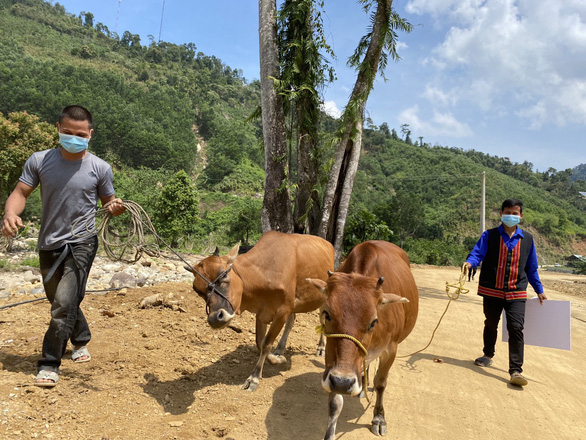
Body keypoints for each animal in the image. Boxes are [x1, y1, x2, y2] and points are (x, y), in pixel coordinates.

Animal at [187, 232, 334, 390]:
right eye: (197, 290)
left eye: (224, 276)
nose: (215, 318)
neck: (262, 273)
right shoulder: (262, 312)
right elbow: (260, 342)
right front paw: (276, 358)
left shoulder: (282, 311)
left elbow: (266, 343)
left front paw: (255, 377)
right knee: (292, 321)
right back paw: (280, 348)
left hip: (323, 298)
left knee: (322, 321)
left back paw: (321, 347)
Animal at [308, 242, 418, 438]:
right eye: (327, 314)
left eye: (374, 321)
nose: (343, 382)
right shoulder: (334, 363)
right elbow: (335, 401)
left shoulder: (391, 349)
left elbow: (381, 383)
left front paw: (379, 418)